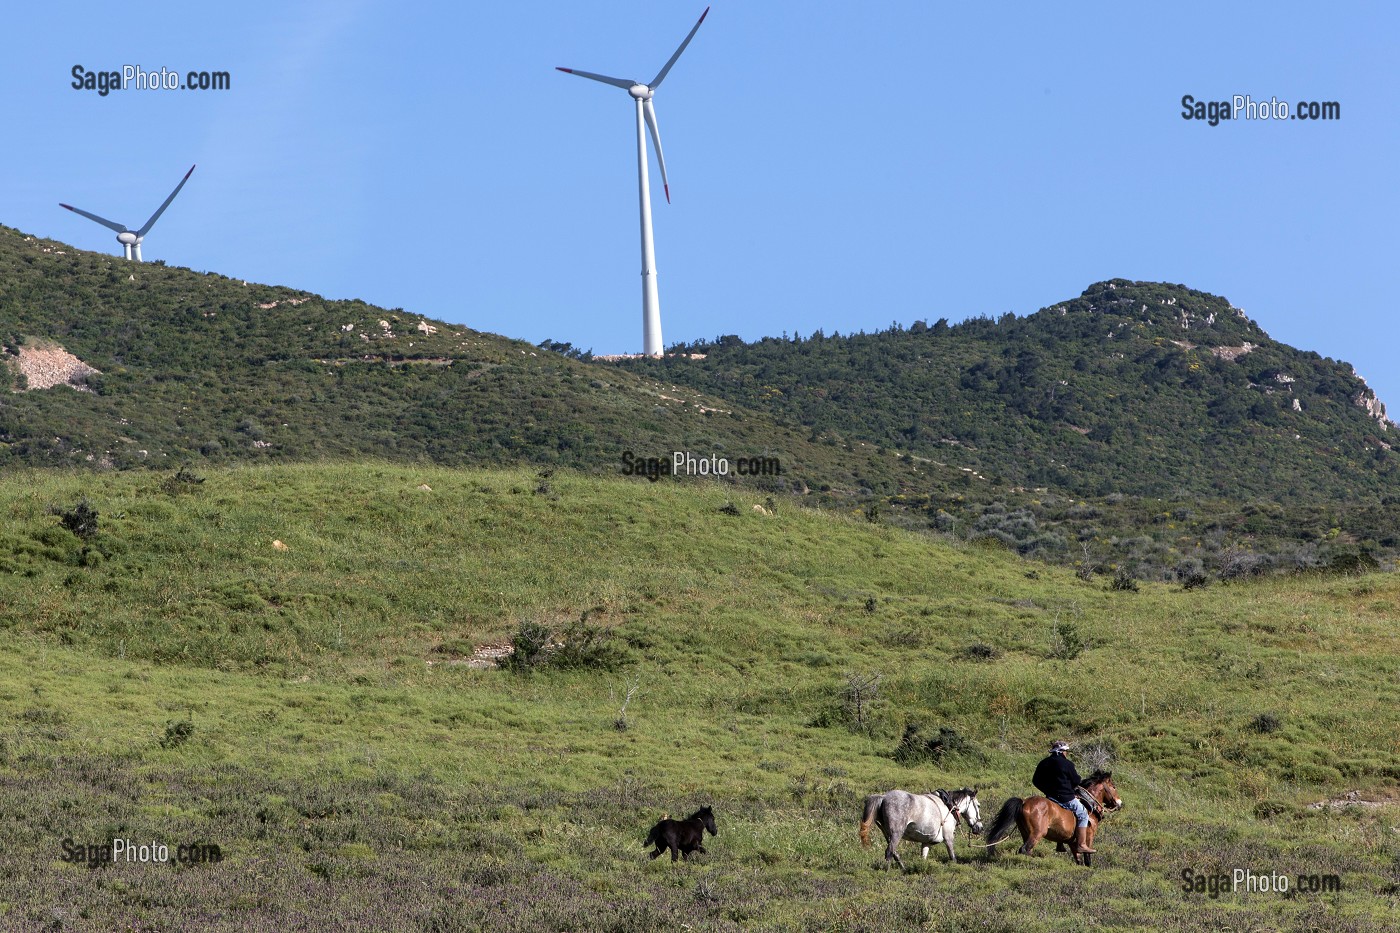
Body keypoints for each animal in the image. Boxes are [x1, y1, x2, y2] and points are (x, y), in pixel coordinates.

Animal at [980, 762, 1120, 862]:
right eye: (1113, 786)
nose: (1119, 803)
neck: (1089, 803)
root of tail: (1024, 802)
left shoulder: (1072, 843)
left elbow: (1079, 860)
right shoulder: (1088, 838)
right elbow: (1087, 858)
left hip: (1025, 832)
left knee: (1026, 850)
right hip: (1037, 833)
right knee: (1025, 849)